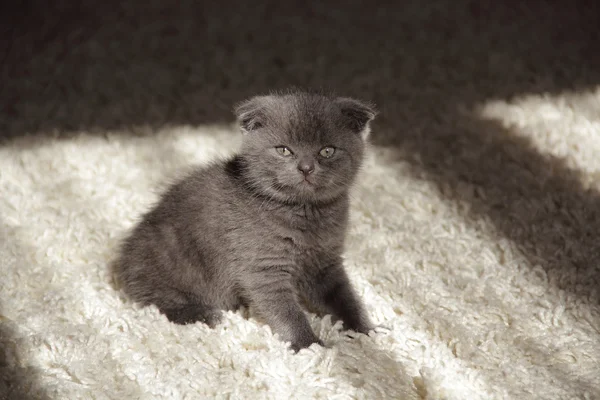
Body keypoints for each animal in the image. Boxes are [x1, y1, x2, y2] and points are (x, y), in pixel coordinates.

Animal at [115, 90, 378, 350]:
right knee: (156, 301)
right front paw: (309, 345)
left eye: (327, 151)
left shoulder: (325, 262)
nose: (306, 167)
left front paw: (367, 331)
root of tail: (123, 260)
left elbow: (344, 297)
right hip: (171, 258)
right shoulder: (263, 267)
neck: (305, 213)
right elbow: (286, 310)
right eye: (284, 150)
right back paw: (205, 314)